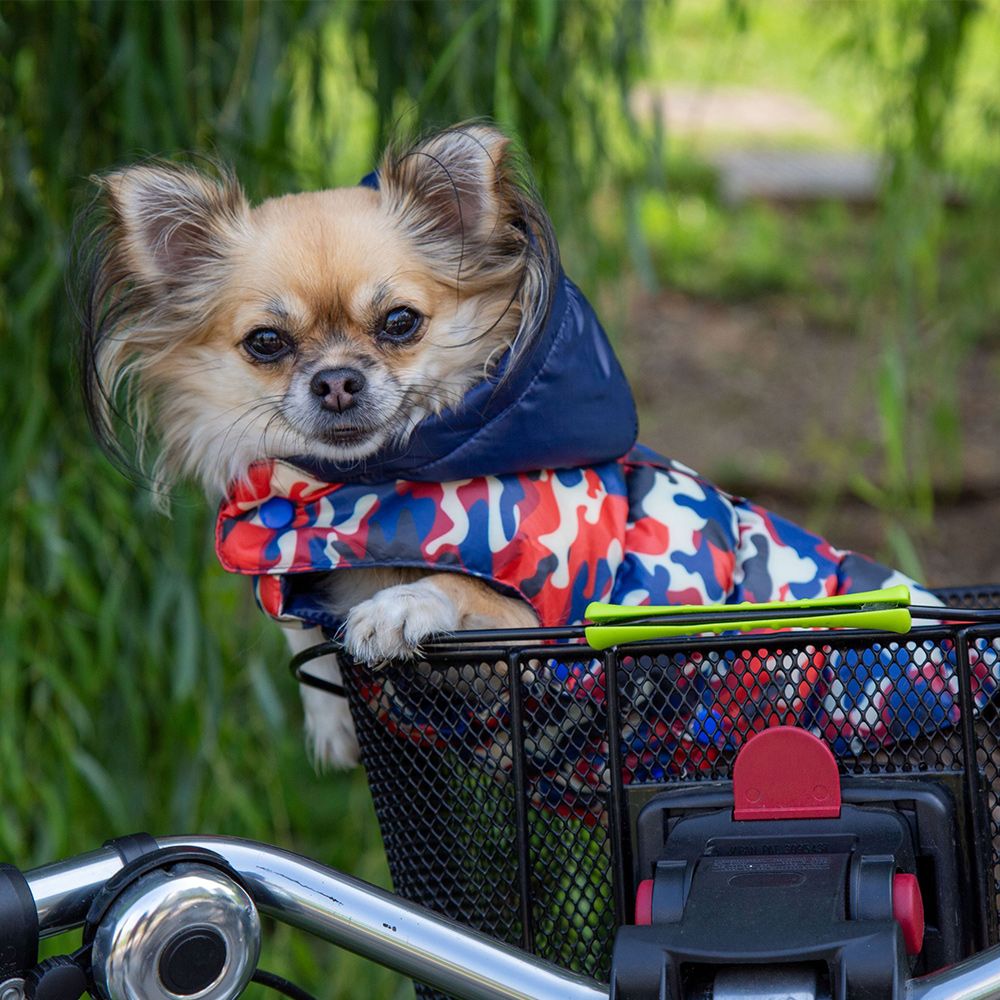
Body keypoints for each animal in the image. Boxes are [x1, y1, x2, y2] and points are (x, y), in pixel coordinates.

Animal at [78, 125, 936, 768]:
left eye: (400, 323)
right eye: (266, 342)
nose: (337, 381)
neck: (369, 489)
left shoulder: (555, 629)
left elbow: (458, 588)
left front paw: (400, 607)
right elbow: (304, 629)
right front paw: (331, 720)